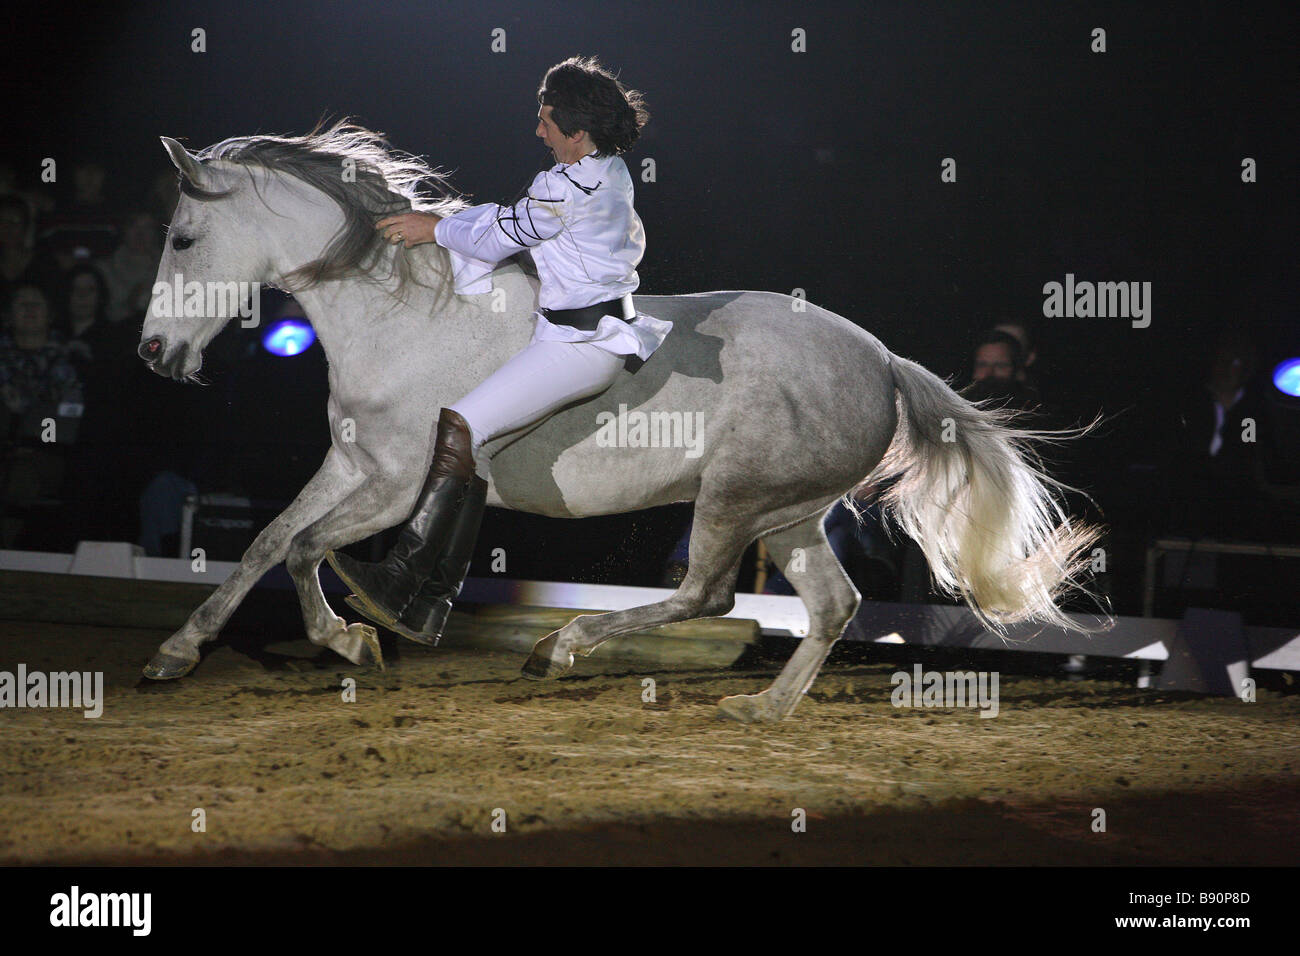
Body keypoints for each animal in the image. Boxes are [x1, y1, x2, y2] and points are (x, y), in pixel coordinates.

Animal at [137, 120, 1104, 722]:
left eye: (183, 239)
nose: (151, 353)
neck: (404, 317)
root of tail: (883, 361)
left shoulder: (400, 480)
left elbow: (307, 549)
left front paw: (357, 635)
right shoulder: (352, 467)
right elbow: (267, 542)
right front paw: (175, 655)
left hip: (735, 499)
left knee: (708, 594)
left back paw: (562, 646)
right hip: (787, 513)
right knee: (832, 605)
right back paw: (761, 707)